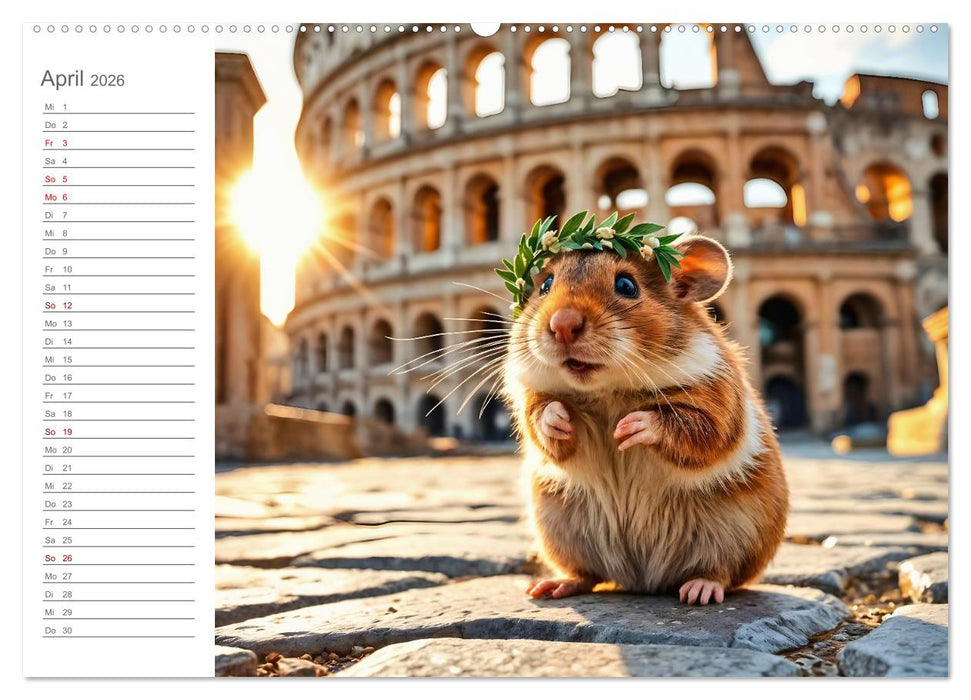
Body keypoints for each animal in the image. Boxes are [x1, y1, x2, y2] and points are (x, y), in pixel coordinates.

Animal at [502, 235, 789, 605]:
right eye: (545, 285)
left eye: (627, 285)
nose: (562, 325)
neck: (607, 390)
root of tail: (643, 580)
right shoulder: (531, 397)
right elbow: (540, 418)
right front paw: (562, 417)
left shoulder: (719, 403)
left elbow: (694, 429)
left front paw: (628, 428)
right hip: (556, 528)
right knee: (588, 575)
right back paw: (548, 588)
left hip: (741, 535)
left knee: (722, 573)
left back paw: (698, 591)